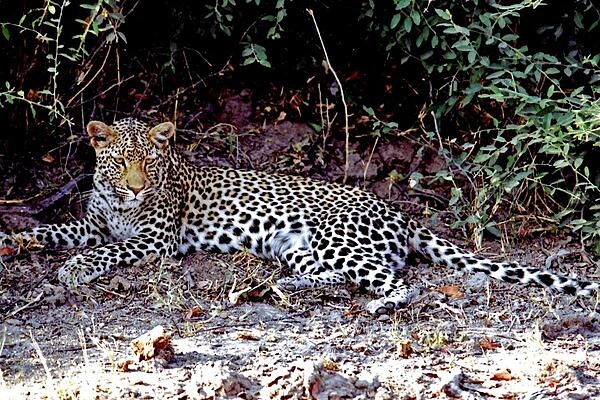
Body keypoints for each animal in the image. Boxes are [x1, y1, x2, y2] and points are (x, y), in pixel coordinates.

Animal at [0, 117, 596, 314]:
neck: (118, 203)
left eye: (150, 162)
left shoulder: (153, 242)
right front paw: (18, 239)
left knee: (397, 281)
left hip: (340, 239)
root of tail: (398, 212)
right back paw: (283, 287)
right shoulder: (90, 222)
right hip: (301, 247)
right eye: (121, 160)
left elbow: (108, 250)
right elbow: (58, 229)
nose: (133, 187)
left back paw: (379, 304)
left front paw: (74, 270)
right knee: (331, 276)